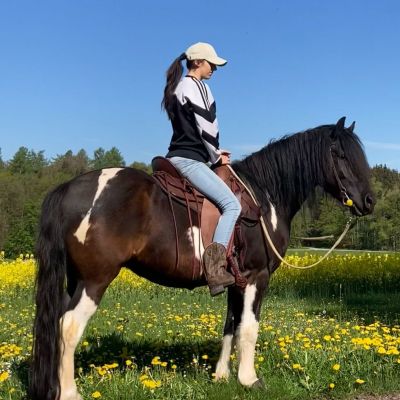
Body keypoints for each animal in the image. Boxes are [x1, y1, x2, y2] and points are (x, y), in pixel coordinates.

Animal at [29, 117, 375, 400]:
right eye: (342, 155)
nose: (369, 201)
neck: (264, 198)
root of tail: (69, 187)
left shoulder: (235, 281)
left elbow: (230, 326)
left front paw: (222, 376)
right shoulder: (256, 277)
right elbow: (249, 328)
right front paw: (249, 379)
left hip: (74, 280)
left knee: (57, 326)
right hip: (95, 279)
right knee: (68, 326)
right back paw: (69, 393)